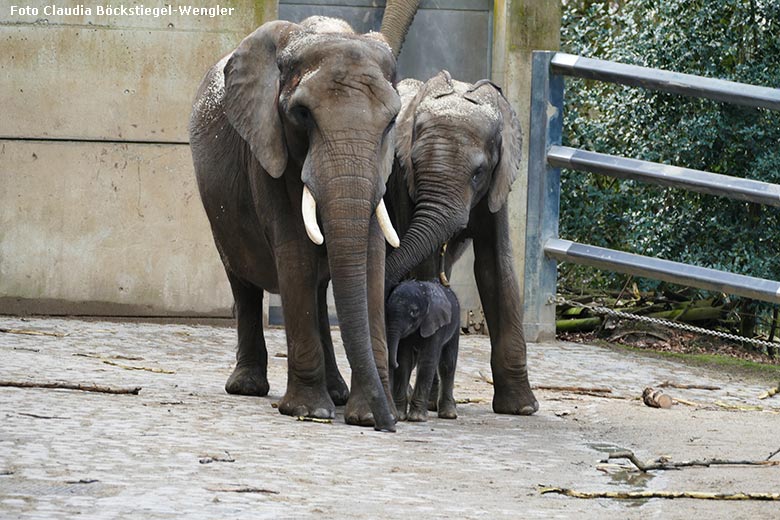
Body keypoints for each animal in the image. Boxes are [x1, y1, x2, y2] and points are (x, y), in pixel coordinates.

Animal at [187, 17, 400, 430]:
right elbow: (295, 255)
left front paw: (366, 415)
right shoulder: (268, 148)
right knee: (243, 283)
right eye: (302, 114)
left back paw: (337, 393)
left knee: (318, 289)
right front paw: (309, 412)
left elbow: (371, 262)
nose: (390, 424)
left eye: (392, 121)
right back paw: (248, 387)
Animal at [386, 280, 460, 422]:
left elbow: (427, 360)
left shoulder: (436, 324)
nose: (393, 363)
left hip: (455, 324)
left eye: (414, 312)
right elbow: (404, 362)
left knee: (447, 364)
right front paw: (400, 416)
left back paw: (448, 415)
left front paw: (417, 418)